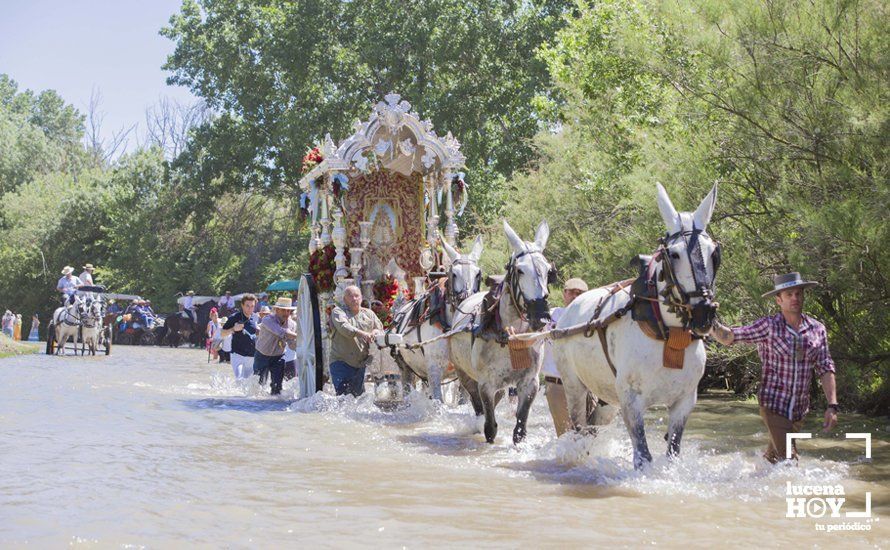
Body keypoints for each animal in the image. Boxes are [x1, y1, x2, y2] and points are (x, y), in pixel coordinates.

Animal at [388, 236, 486, 402]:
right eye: (454, 274)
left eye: (478, 274)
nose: (467, 302)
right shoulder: (434, 369)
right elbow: (438, 401)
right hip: (405, 368)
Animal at [450, 220, 556, 444]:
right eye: (520, 270)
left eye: (548, 270)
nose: (541, 317)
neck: (511, 336)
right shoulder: (485, 385)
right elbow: (490, 427)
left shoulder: (530, 383)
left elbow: (520, 430)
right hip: (463, 373)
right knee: (477, 404)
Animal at [552, 184, 720, 470]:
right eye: (674, 254)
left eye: (713, 253)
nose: (703, 313)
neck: (667, 335)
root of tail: (567, 312)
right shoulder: (631, 400)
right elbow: (643, 455)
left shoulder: (685, 401)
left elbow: (672, 451)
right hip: (573, 384)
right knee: (578, 429)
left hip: (607, 396)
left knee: (593, 426)